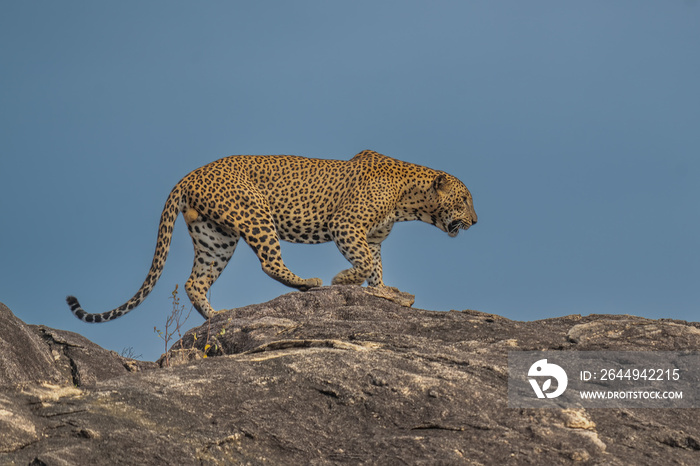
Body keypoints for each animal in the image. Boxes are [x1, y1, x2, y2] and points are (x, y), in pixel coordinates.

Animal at [67, 151, 476, 322]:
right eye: (465, 199)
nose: (476, 220)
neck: (410, 199)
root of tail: (189, 175)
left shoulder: (371, 238)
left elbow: (374, 267)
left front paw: (383, 293)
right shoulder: (347, 227)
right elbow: (361, 264)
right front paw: (344, 280)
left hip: (215, 236)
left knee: (194, 282)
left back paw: (216, 317)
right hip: (255, 214)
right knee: (268, 262)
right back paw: (308, 283)